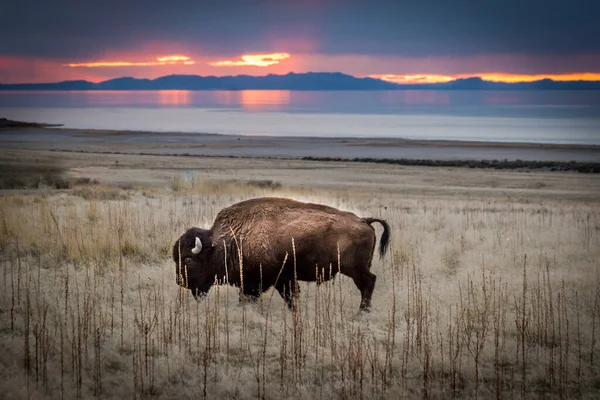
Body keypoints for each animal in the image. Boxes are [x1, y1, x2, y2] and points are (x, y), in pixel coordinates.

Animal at [171, 197, 392, 312]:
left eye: (188, 259)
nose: (180, 281)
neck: (231, 239)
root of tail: (364, 220)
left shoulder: (276, 279)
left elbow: (287, 296)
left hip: (354, 269)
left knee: (368, 283)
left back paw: (362, 312)